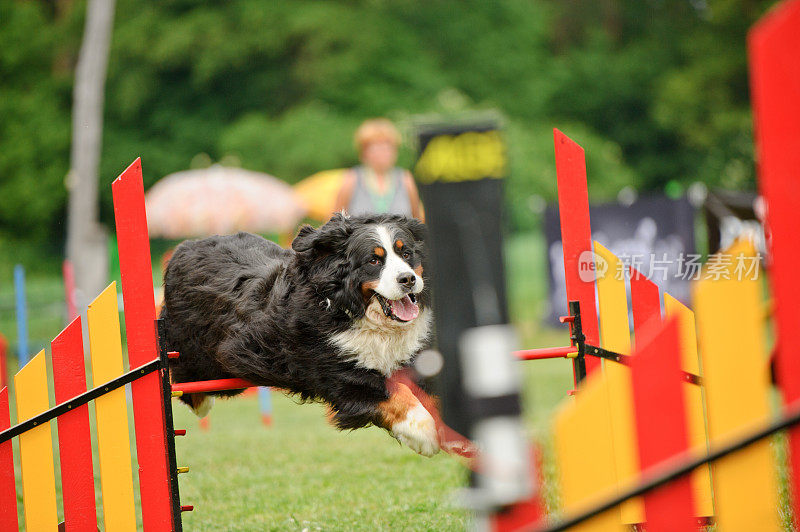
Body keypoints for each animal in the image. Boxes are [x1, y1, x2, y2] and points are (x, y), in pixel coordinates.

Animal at [160, 214, 440, 456]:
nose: (408, 279)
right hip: (204, 358)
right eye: (374, 260)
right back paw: (200, 402)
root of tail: (186, 247)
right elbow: (394, 394)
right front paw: (425, 432)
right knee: (189, 382)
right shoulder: (337, 374)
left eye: (406, 253)